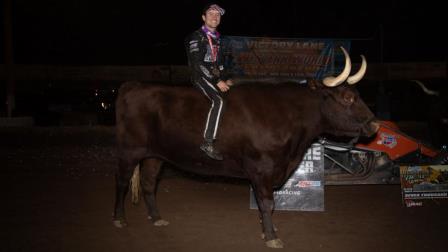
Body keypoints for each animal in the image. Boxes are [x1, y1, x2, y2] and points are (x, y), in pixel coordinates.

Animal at [113, 47, 378, 248]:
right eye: (347, 98)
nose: (374, 124)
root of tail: (134, 85)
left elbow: (265, 204)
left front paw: (266, 229)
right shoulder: (262, 167)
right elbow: (267, 202)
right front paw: (272, 236)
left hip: (154, 155)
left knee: (148, 183)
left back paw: (157, 218)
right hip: (129, 150)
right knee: (122, 182)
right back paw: (119, 219)